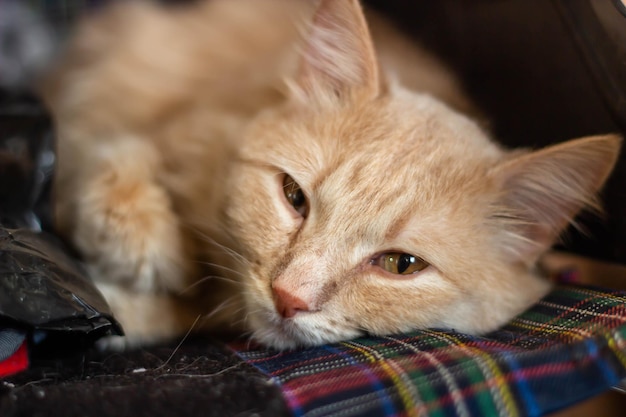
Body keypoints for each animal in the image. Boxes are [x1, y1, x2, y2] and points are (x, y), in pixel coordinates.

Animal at [42, 0, 620, 350]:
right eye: (294, 197)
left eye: (402, 265)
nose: (288, 298)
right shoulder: (138, 114)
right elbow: (111, 160)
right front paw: (145, 249)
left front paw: (126, 310)